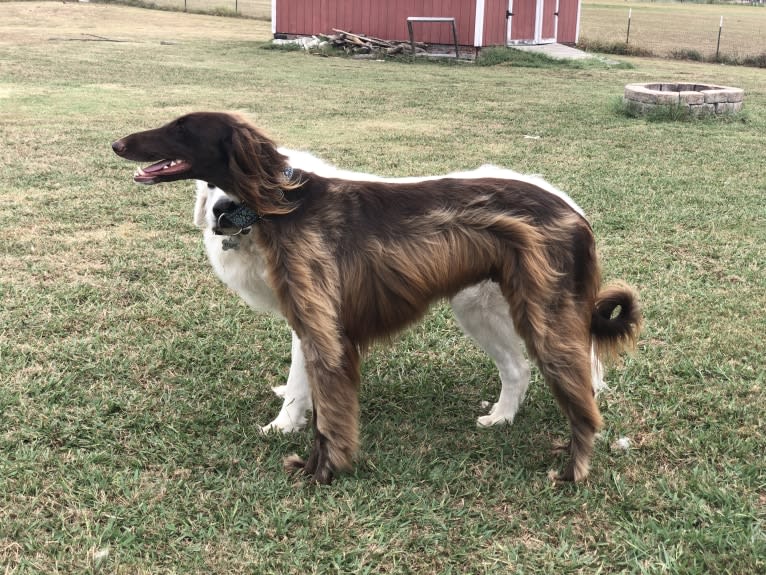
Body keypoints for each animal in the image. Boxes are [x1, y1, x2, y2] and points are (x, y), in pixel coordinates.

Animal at [112, 110, 640, 484]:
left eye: (182, 128)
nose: (117, 143)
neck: (276, 203)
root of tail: (574, 210)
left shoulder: (321, 324)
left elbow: (327, 404)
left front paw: (318, 466)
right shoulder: (309, 317)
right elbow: (302, 385)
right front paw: (292, 420)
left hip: (534, 312)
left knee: (575, 389)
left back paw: (572, 469)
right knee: (520, 369)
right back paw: (502, 418)